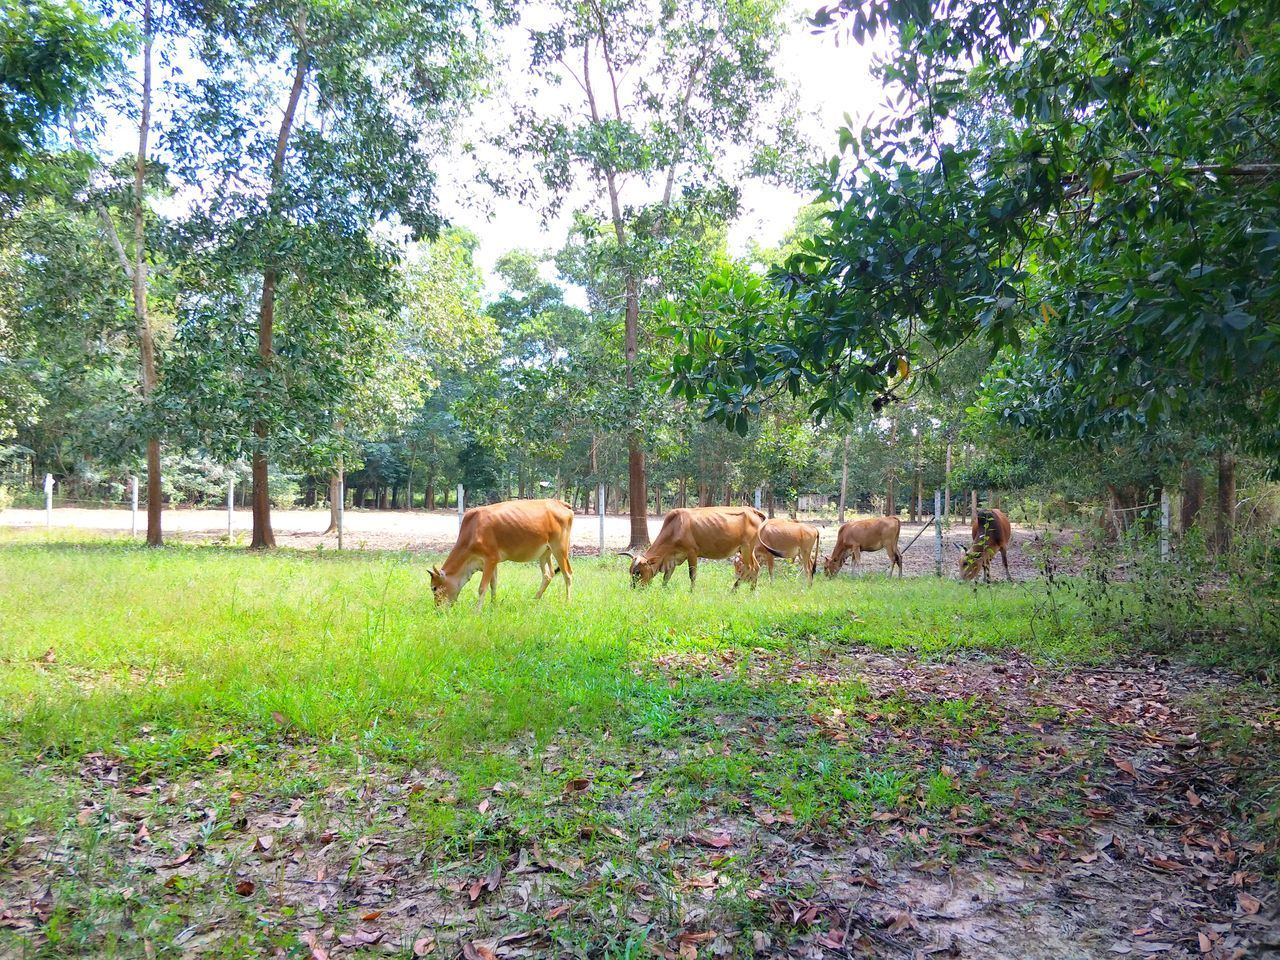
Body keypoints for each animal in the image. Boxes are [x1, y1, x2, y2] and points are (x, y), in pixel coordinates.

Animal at [430, 499, 570, 611]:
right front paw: (493, 605)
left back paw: (568, 602)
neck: (472, 531)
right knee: (548, 575)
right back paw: (534, 599)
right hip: (545, 552)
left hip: (560, 549)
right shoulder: (493, 562)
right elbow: (493, 585)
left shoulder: (490, 559)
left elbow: (482, 587)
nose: (437, 609)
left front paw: (477, 611)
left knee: (567, 574)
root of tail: (560, 503)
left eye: (434, 588)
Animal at [624, 506, 762, 591]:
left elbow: (692, 575)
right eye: (630, 571)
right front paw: (663, 590)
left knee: (749, 568)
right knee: (756, 567)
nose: (633, 589)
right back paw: (752, 591)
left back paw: (733, 590)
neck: (675, 528)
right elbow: (666, 577)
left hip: (746, 548)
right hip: (748, 550)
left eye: (638, 572)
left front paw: (691, 592)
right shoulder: (673, 558)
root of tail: (752, 510)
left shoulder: (692, 553)